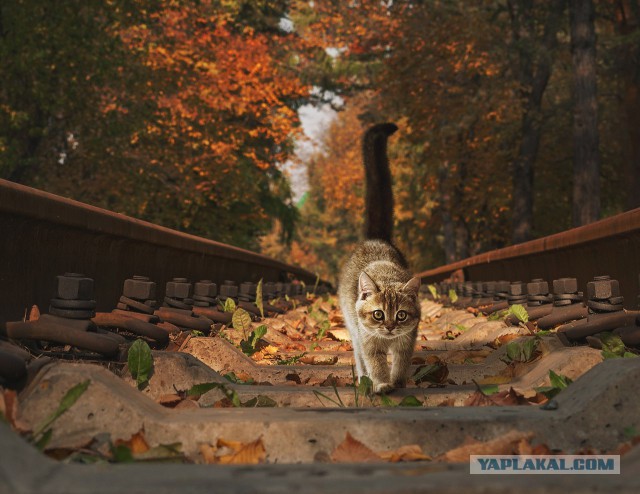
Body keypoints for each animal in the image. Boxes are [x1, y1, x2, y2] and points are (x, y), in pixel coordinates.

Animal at [338, 122, 422, 394]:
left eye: (401, 315)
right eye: (378, 314)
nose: (389, 326)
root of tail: (376, 238)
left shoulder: (407, 341)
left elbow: (401, 363)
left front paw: (398, 382)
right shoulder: (369, 343)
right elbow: (375, 364)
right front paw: (383, 383)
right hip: (353, 329)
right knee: (358, 356)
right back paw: (364, 379)